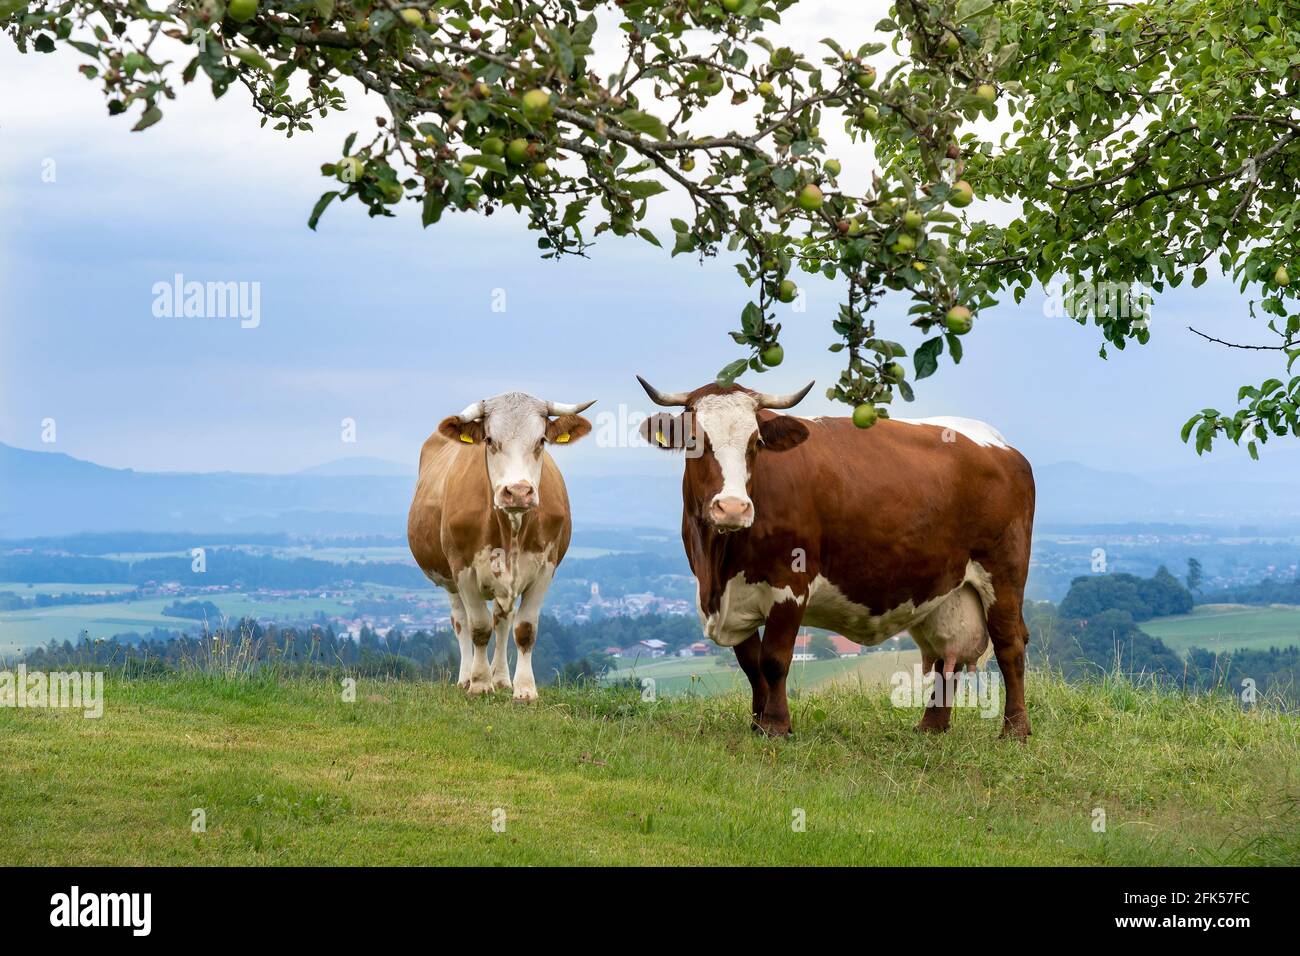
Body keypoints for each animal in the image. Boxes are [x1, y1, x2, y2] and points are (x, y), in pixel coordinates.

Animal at [405, 392, 595, 697]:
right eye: (490, 439)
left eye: (541, 440)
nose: (518, 491)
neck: (510, 528)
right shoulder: (463, 569)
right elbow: (479, 628)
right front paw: (480, 684)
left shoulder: (545, 568)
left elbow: (524, 629)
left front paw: (524, 690)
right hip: (448, 579)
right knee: (461, 622)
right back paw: (466, 678)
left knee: (502, 620)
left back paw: (502, 679)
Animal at [631, 377, 1034, 738]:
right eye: (694, 441)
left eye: (755, 442)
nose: (732, 507)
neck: (719, 564)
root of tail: (1000, 444)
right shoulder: (727, 593)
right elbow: (750, 663)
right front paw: (757, 721)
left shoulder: (790, 584)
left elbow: (773, 659)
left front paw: (776, 725)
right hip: (944, 589)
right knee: (945, 655)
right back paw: (932, 726)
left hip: (1003, 573)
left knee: (1010, 644)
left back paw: (1014, 729)